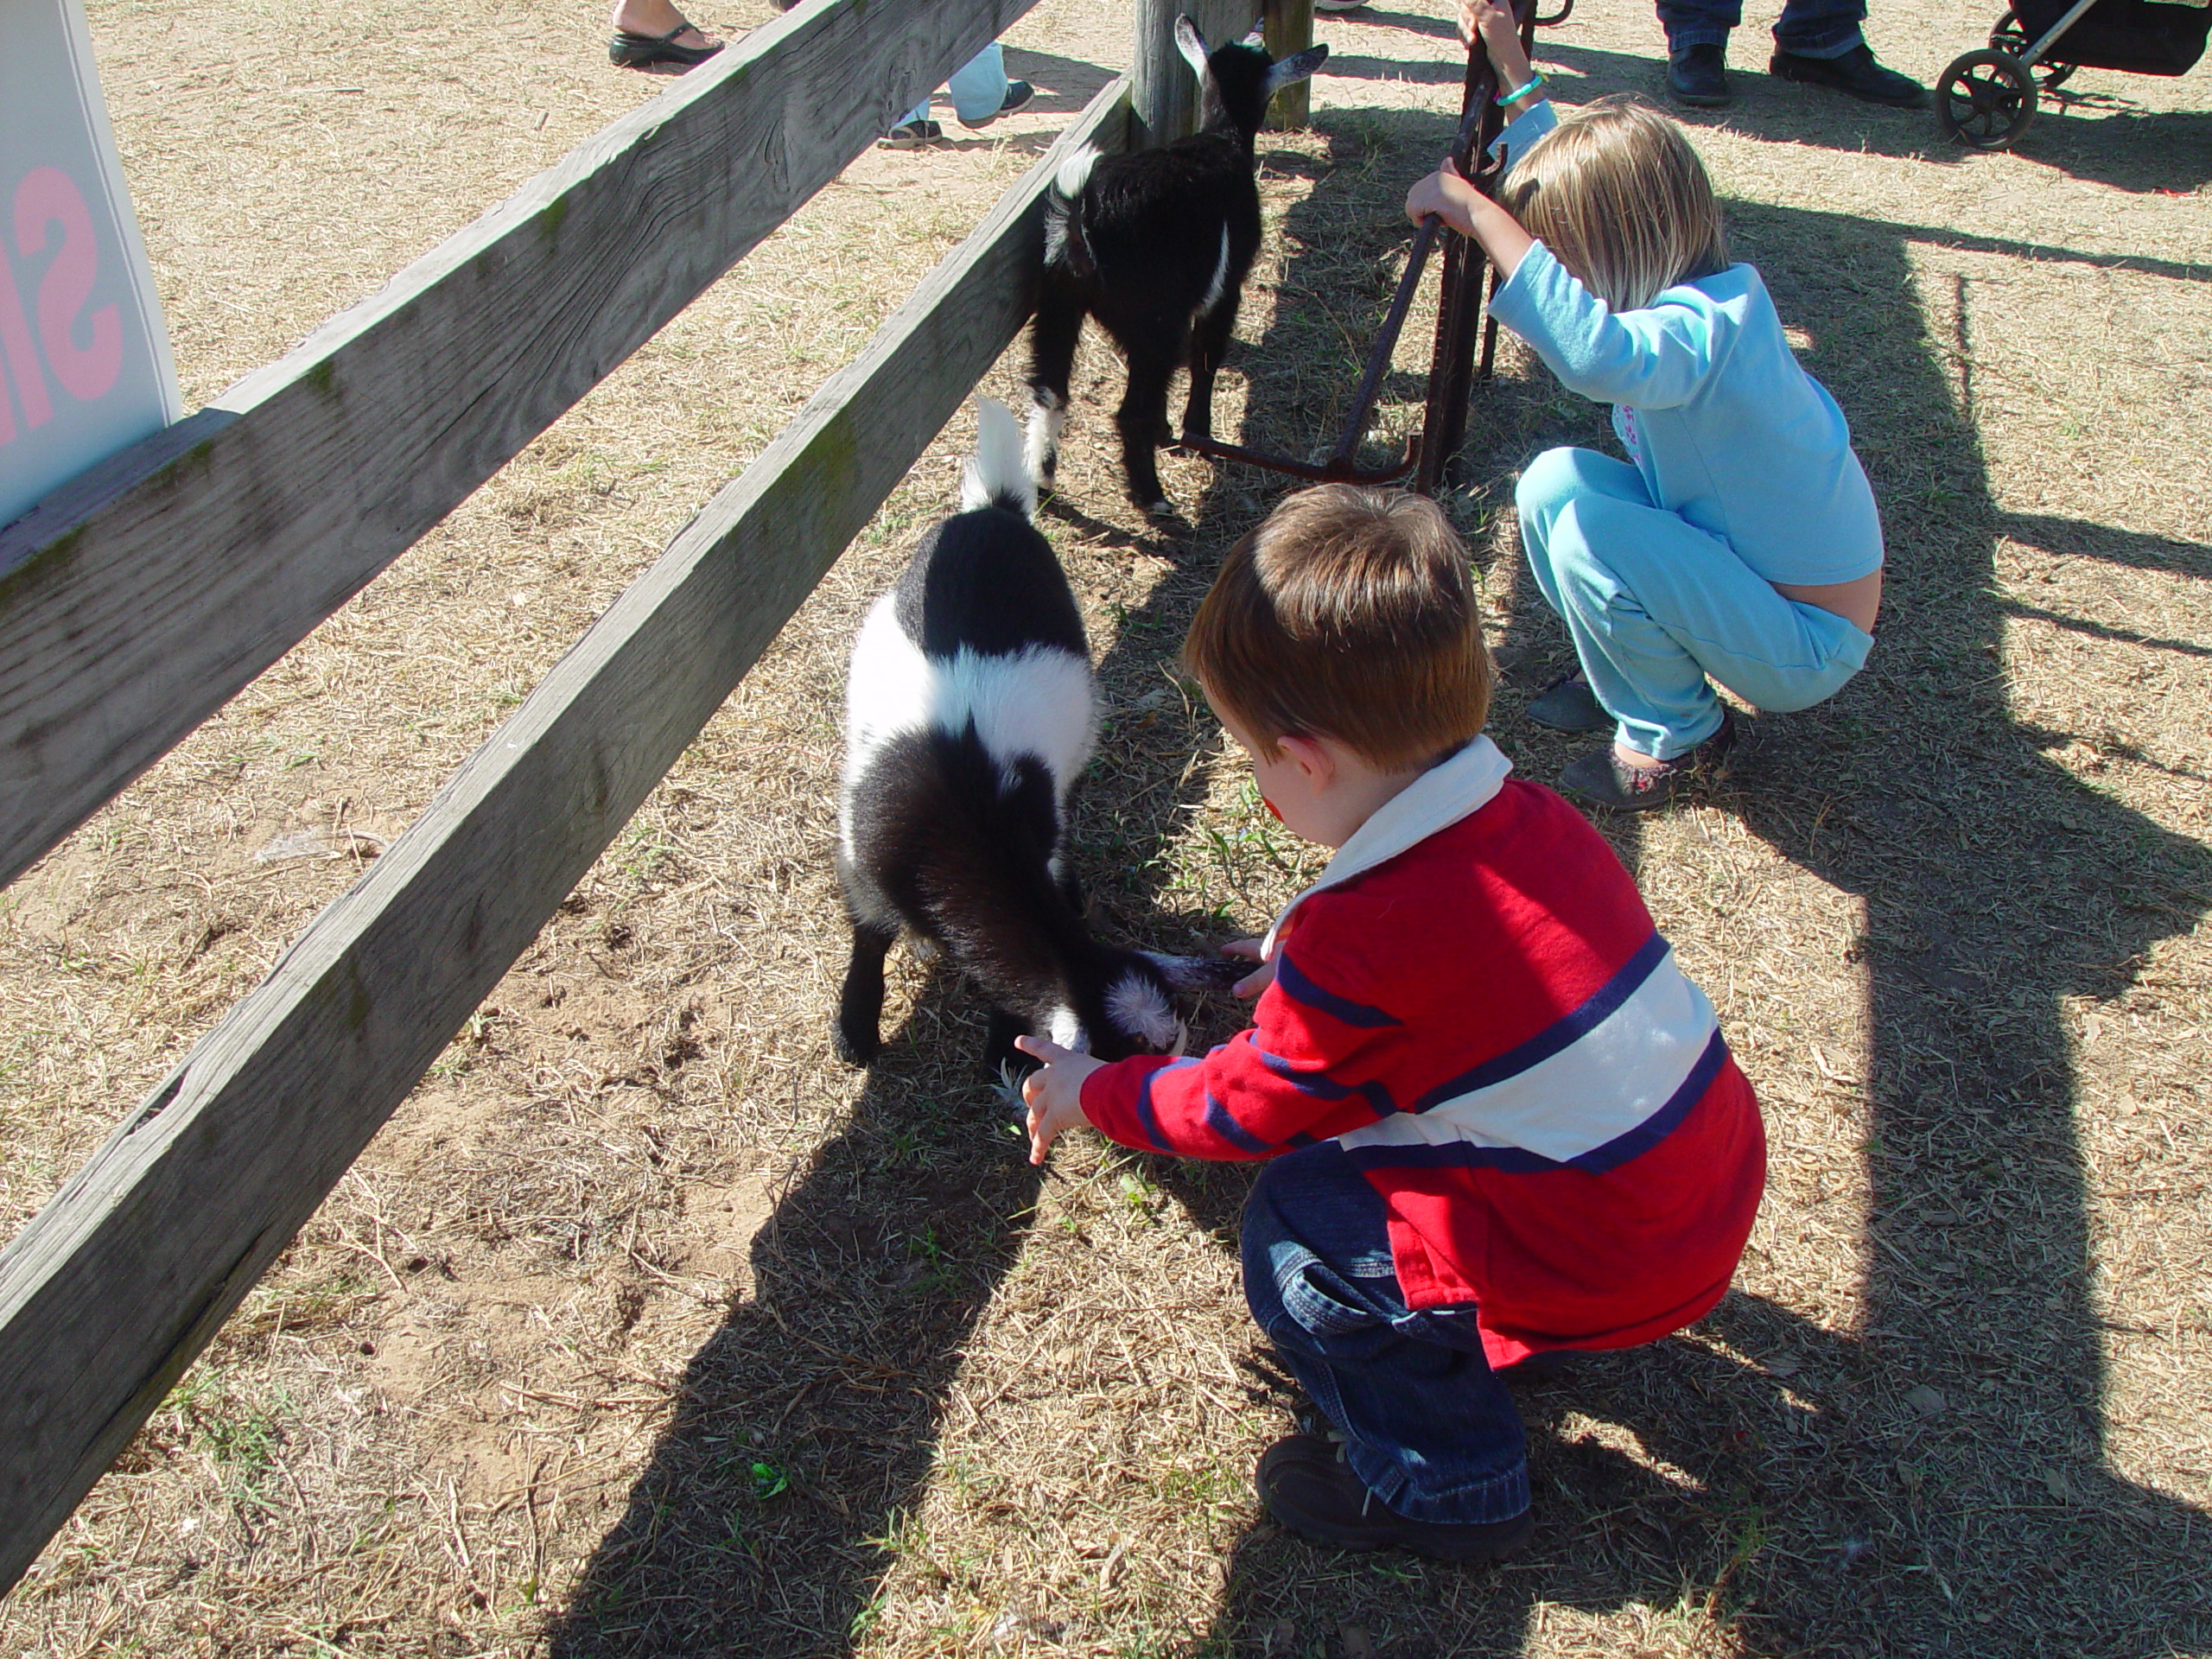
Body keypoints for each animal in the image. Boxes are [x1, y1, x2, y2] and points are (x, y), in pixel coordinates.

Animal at [1021, 16, 1318, 518]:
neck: (1222, 137)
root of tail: (1084, 208)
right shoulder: (1226, 285)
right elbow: (1207, 355)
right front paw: (1196, 433)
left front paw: (1168, 431)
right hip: (1156, 315)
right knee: (1131, 406)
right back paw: (1151, 496)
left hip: (1060, 296)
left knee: (1049, 389)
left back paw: (1042, 482)